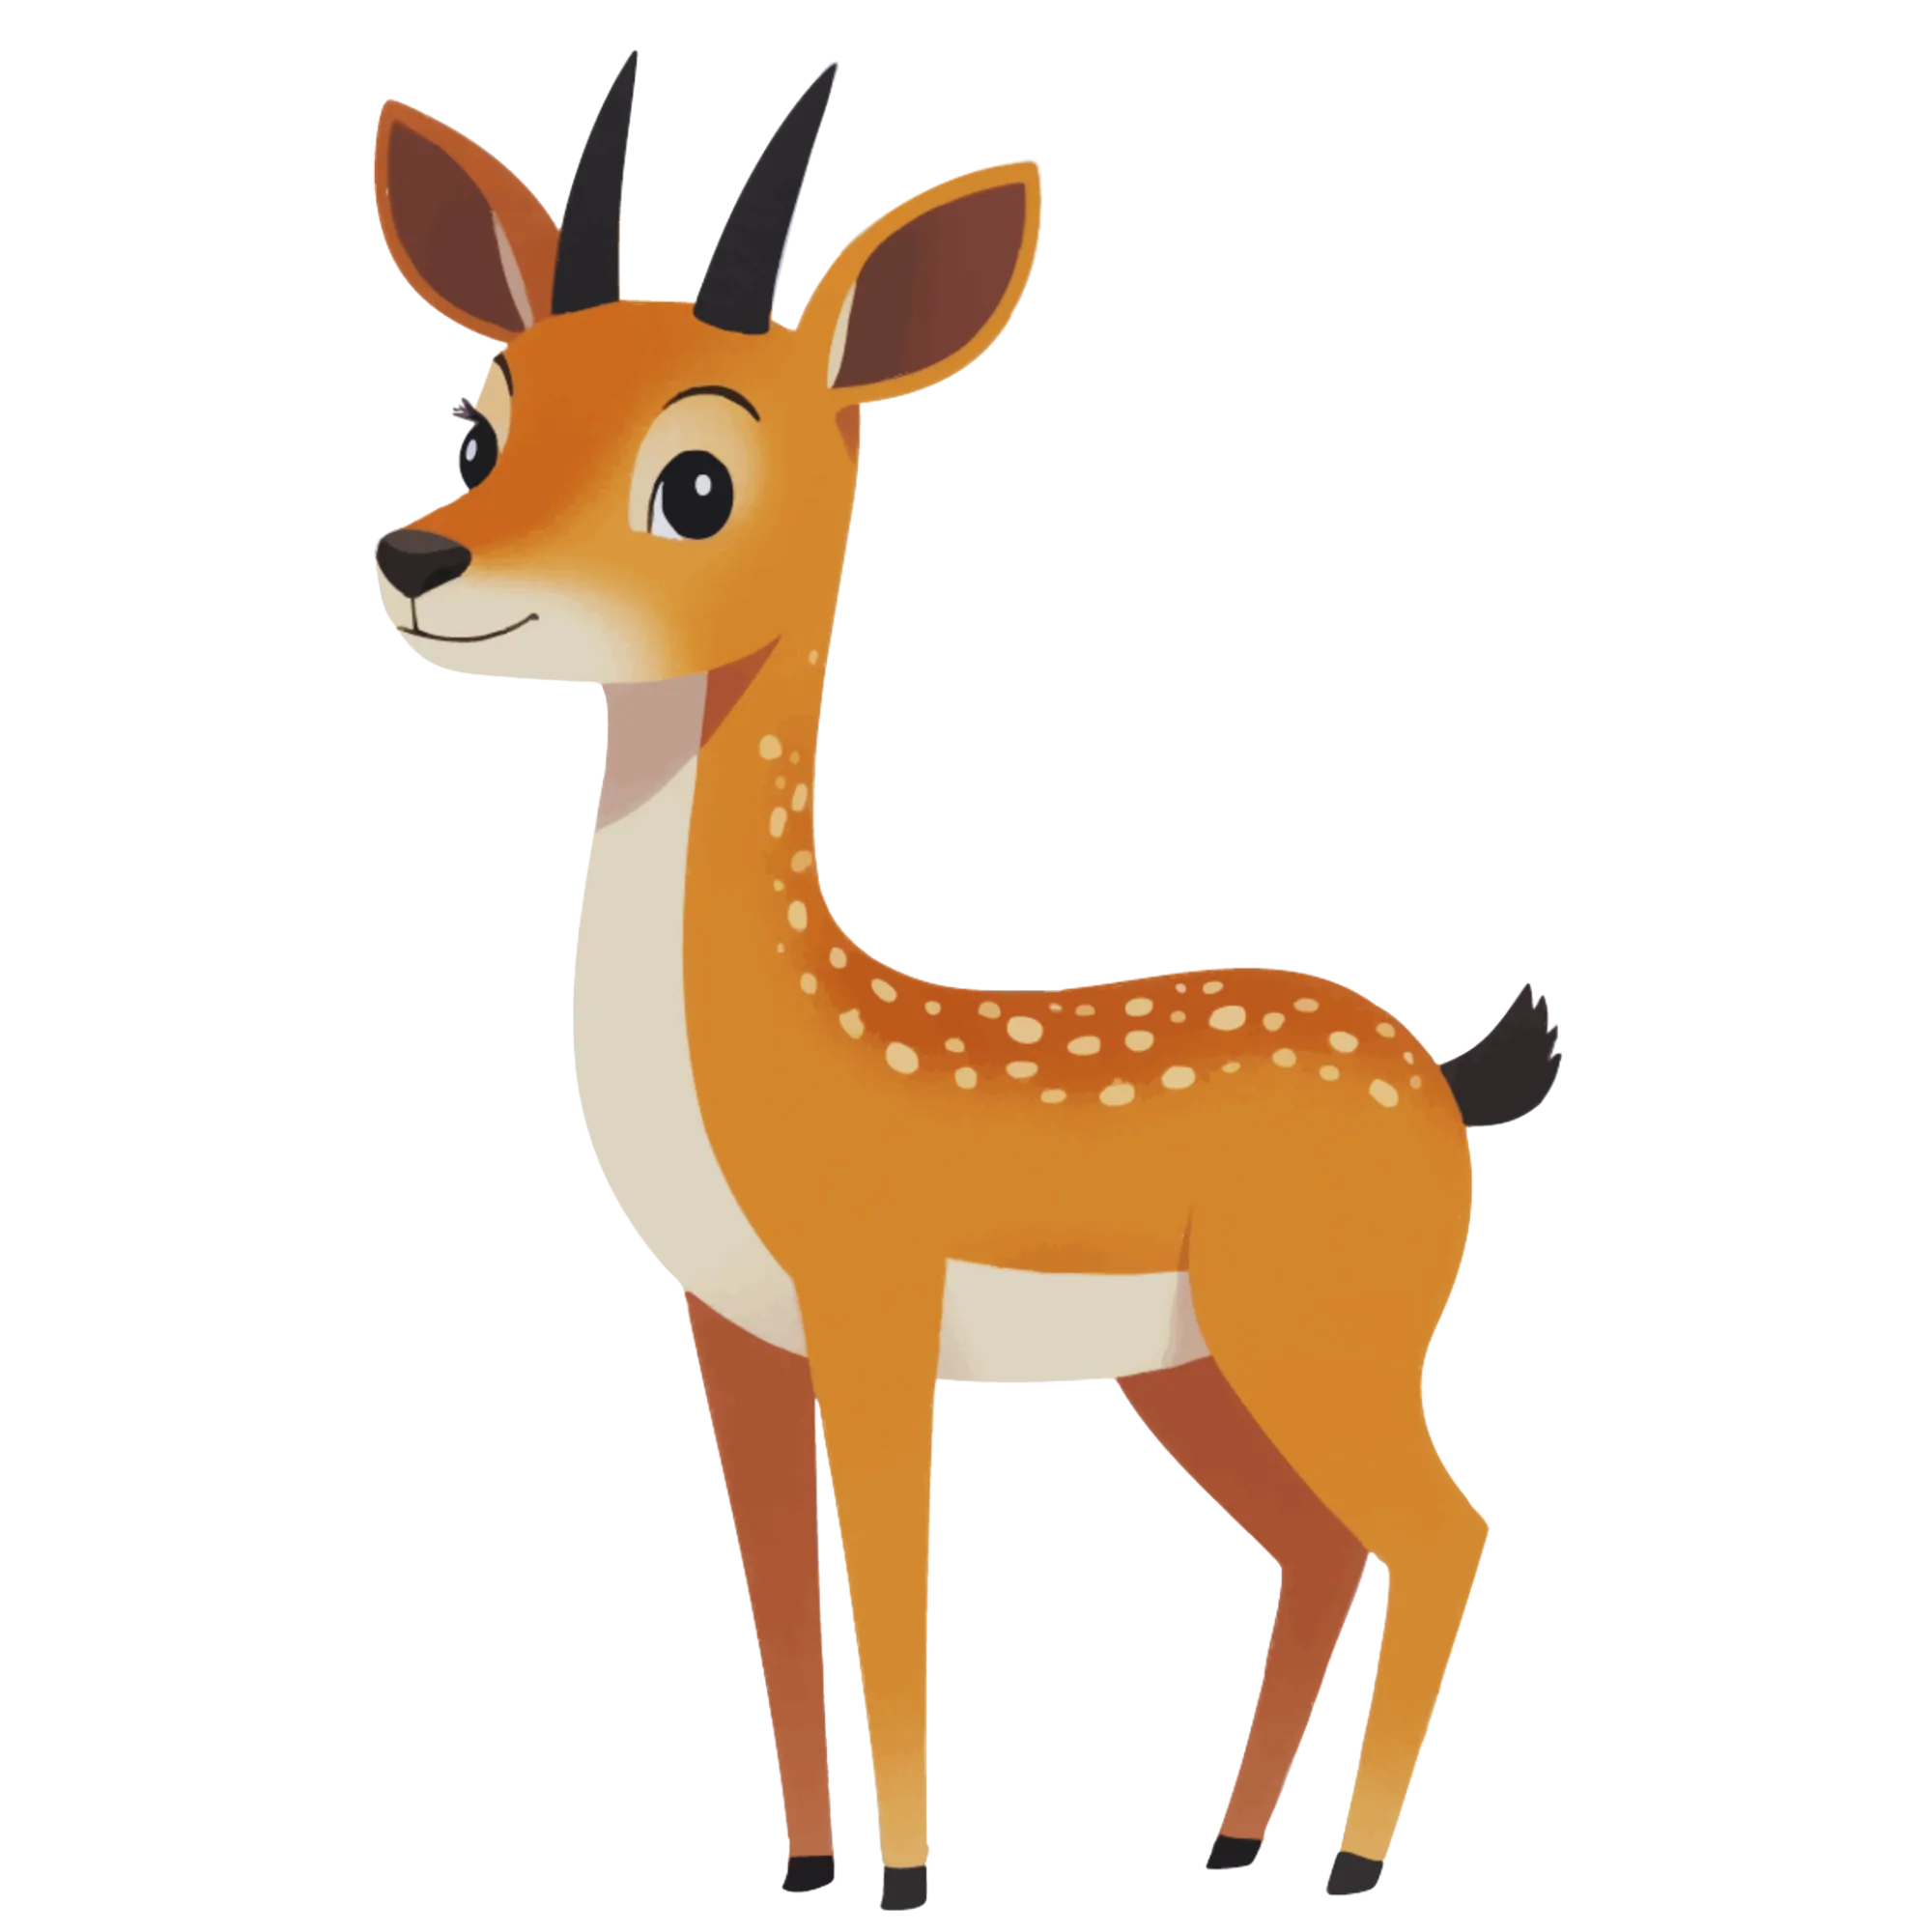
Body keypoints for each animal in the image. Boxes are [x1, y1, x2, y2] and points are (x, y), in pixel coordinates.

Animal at [370, 52, 1566, 1913]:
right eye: (475, 425)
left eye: (696, 482)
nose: (422, 561)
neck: (791, 1049)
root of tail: (1449, 1072)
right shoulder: (731, 1328)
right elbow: (778, 1602)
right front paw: (805, 1871)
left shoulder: (880, 1301)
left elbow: (897, 1588)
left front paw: (913, 1881)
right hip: (1197, 1371)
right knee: (1318, 1546)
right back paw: (1230, 1841)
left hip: (1331, 1334)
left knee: (1448, 1529)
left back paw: (1352, 1871)